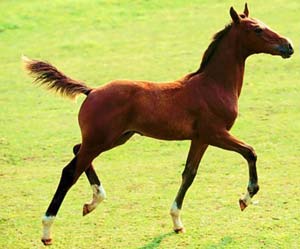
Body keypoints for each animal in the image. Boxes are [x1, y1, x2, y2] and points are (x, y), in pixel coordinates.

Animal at [24, 3, 292, 245]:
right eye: (257, 29)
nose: (288, 46)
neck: (213, 85)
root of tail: (91, 91)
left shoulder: (200, 138)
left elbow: (189, 174)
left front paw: (177, 222)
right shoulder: (216, 133)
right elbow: (250, 152)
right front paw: (246, 198)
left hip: (115, 138)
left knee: (77, 151)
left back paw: (93, 201)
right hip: (101, 140)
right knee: (70, 171)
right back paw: (47, 230)